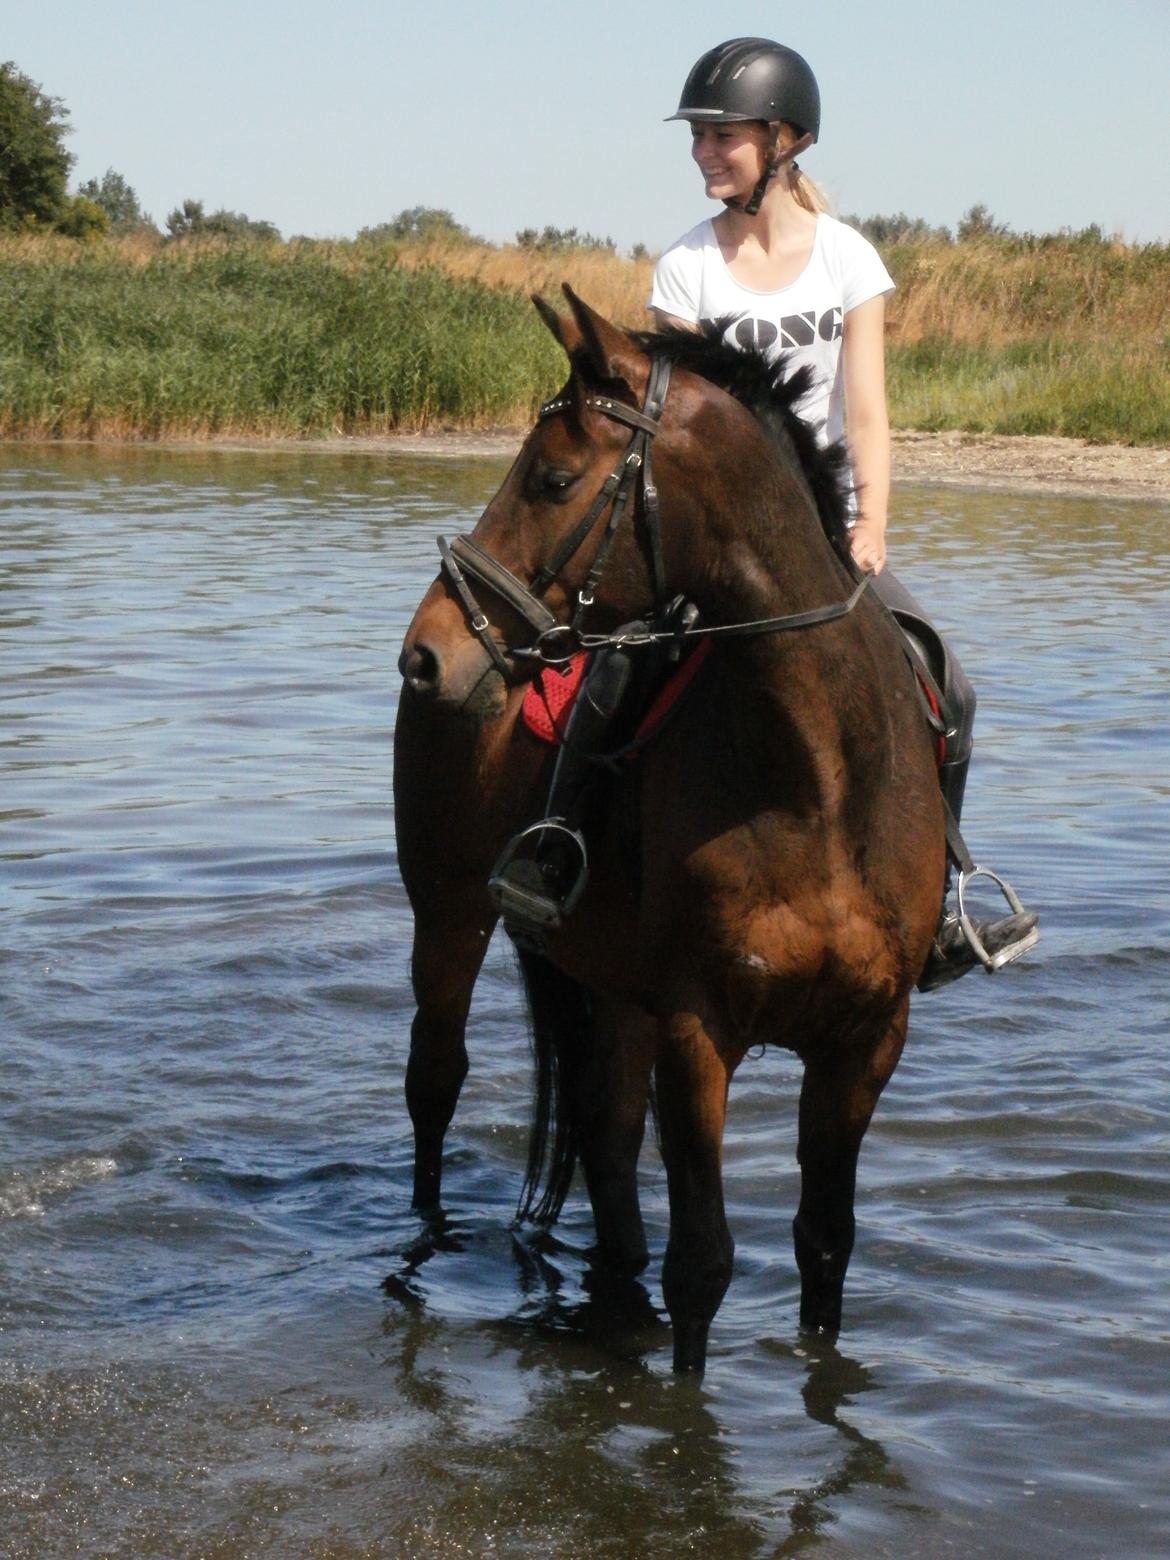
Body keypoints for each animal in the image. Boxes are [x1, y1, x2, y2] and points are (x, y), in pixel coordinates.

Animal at [394, 287, 942, 1372]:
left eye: (554, 477)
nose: (427, 654)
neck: (818, 778)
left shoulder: (867, 1040)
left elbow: (826, 1241)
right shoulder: (700, 1029)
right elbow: (704, 1266)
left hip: (610, 986)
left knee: (604, 1137)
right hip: (448, 916)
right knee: (435, 1081)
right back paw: (428, 1242)